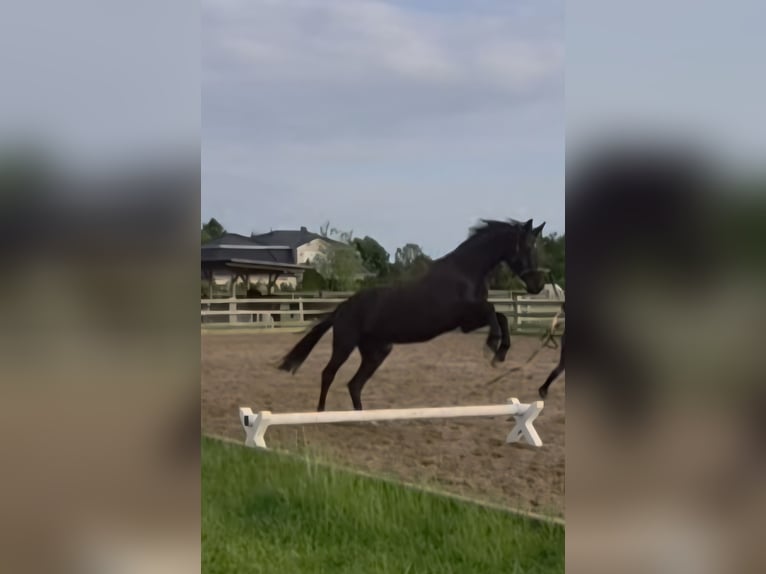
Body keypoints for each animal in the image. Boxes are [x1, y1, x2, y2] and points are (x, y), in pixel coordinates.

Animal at [277, 218, 548, 411]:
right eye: (526, 247)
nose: (538, 286)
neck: (465, 272)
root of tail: (342, 308)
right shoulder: (466, 318)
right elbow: (495, 314)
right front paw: (493, 347)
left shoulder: (468, 321)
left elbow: (501, 316)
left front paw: (500, 354)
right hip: (345, 345)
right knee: (329, 374)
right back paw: (321, 412)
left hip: (377, 352)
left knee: (355, 384)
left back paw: (366, 418)